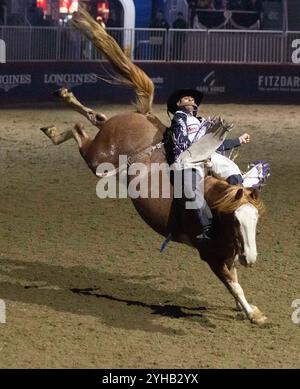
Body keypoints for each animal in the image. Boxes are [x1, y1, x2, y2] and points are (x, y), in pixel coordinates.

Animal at [40, 9, 268, 324]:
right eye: (236, 221)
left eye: (255, 220)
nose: (251, 259)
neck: (215, 206)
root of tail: (143, 115)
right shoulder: (210, 255)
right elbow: (233, 284)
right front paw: (253, 313)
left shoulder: (227, 252)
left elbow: (234, 280)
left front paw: (242, 307)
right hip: (99, 160)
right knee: (78, 131)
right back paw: (55, 126)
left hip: (104, 141)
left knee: (96, 117)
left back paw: (63, 100)